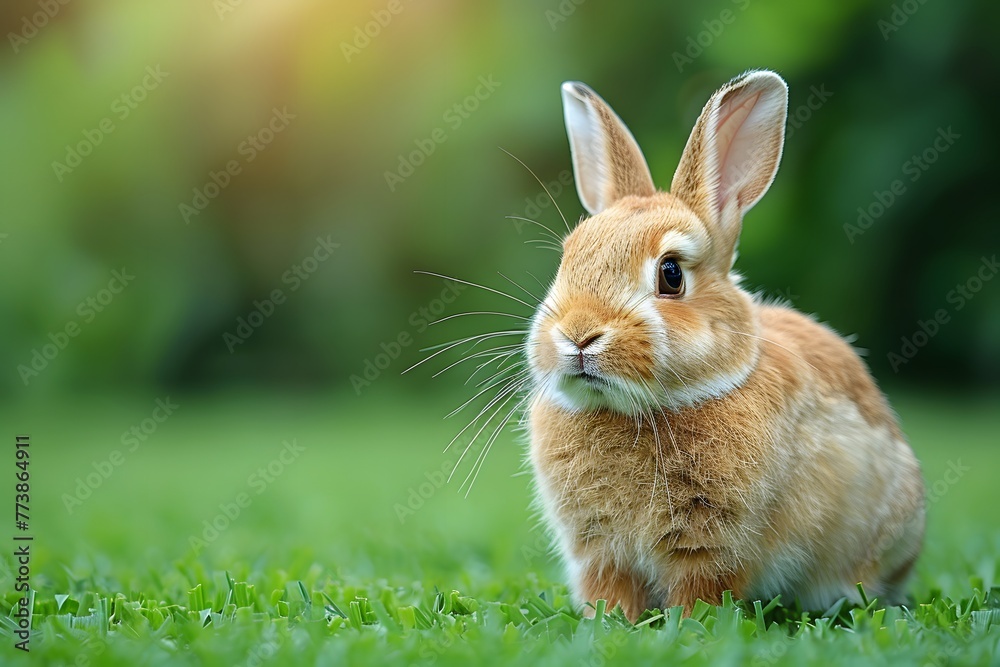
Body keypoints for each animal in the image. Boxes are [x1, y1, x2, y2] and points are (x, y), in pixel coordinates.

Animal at [525, 70, 925, 621]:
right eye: (567, 259)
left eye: (671, 274)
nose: (578, 333)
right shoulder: (599, 551)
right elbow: (611, 591)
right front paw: (610, 623)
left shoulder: (712, 544)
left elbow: (702, 590)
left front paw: (686, 625)